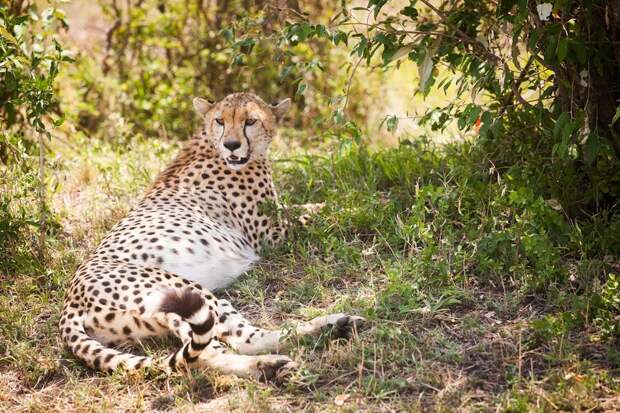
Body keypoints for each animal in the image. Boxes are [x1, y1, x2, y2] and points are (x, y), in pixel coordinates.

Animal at [59, 92, 364, 380]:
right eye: (221, 120)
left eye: (250, 121)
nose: (231, 145)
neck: (208, 141)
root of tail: (71, 298)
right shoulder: (272, 234)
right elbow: (323, 212)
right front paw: (359, 205)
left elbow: (312, 205)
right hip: (187, 295)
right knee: (204, 354)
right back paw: (268, 364)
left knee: (244, 340)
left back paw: (329, 327)